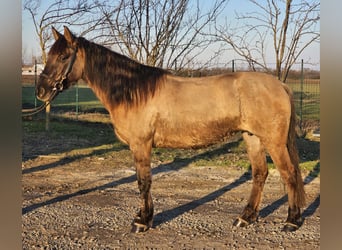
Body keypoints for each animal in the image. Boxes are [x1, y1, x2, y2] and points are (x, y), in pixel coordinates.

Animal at [36, 26, 304, 232]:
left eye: (64, 57)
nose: (41, 91)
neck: (134, 92)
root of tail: (280, 85)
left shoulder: (141, 145)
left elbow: (143, 181)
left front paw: (142, 222)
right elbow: (141, 180)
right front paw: (142, 217)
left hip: (274, 142)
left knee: (289, 174)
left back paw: (291, 221)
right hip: (252, 138)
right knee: (260, 174)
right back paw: (245, 218)